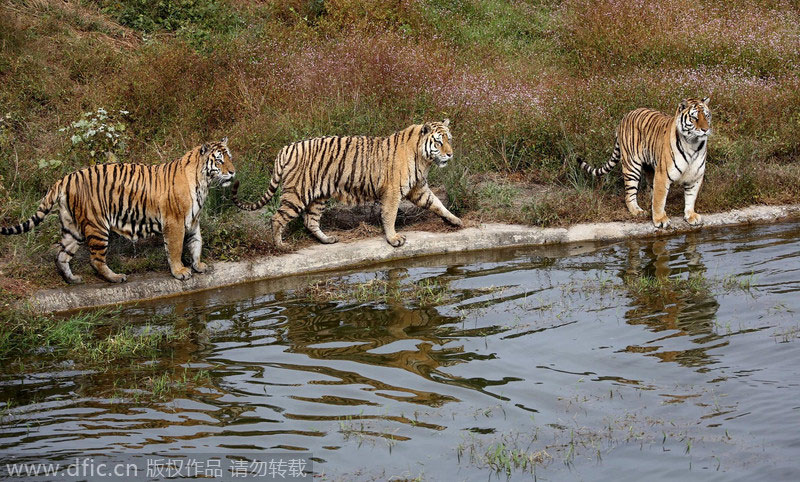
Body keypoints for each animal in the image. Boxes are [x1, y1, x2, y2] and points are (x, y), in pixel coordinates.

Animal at [0, 138, 236, 282]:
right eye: (219, 160)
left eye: (230, 157)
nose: (233, 172)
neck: (203, 182)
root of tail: (66, 177)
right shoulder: (174, 222)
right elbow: (176, 249)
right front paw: (180, 272)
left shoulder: (192, 221)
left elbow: (196, 244)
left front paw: (199, 265)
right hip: (97, 226)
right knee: (95, 260)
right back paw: (115, 278)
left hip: (72, 228)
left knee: (61, 255)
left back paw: (73, 280)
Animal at [230, 119, 462, 249]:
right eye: (439, 141)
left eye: (449, 139)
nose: (451, 154)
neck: (424, 159)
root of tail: (285, 149)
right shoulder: (392, 192)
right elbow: (389, 216)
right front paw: (394, 239)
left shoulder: (418, 188)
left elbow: (437, 204)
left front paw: (455, 220)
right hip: (297, 193)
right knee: (277, 218)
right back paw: (280, 246)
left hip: (318, 196)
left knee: (310, 221)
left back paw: (327, 240)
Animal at [576, 98, 712, 230]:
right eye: (694, 118)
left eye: (707, 116)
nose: (705, 130)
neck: (693, 145)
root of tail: (626, 116)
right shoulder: (662, 175)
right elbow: (659, 199)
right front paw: (660, 220)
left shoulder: (695, 176)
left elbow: (690, 197)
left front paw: (691, 215)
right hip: (632, 166)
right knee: (630, 194)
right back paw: (638, 211)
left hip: (650, 166)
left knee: (651, 189)